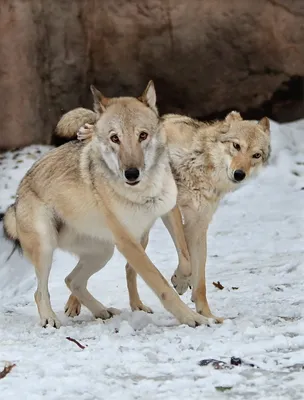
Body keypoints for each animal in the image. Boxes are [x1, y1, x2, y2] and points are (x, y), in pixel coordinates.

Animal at [2, 81, 209, 328]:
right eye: (114, 138)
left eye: (143, 135)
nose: (131, 173)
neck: (142, 192)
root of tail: (18, 195)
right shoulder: (128, 243)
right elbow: (161, 285)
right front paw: (192, 318)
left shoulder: (169, 211)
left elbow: (186, 258)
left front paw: (180, 281)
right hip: (46, 248)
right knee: (40, 291)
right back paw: (50, 319)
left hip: (103, 252)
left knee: (72, 280)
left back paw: (103, 311)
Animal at [56, 106, 270, 322]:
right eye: (236, 146)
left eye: (256, 155)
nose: (239, 174)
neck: (200, 166)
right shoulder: (173, 208)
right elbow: (186, 260)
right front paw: (181, 282)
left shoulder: (198, 224)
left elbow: (198, 275)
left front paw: (207, 314)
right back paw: (74, 305)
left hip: (140, 234)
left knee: (128, 268)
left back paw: (137, 306)